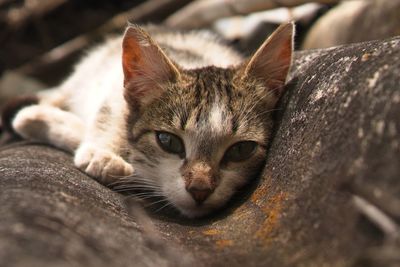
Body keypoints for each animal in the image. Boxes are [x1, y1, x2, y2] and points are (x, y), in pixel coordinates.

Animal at [5, 23, 294, 219]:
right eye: (168, 141)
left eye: (241, 149)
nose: (200, 189)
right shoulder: (117, 88)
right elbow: (108, 113)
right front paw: (102, 155)